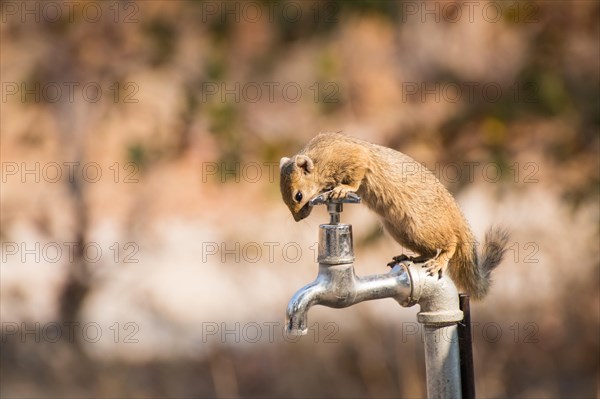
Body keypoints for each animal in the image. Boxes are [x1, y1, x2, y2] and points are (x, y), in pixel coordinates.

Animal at [278, 134, 508, 300]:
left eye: (298, 196)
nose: (298, 219)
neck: (319, 160)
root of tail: (456, 215)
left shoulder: (354, 156)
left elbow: (357, 175)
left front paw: (343, 189)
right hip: (401, 232)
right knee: (428, 249)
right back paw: (411, 258)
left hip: (422, 227)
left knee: (451, 241)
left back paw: (440, 260)